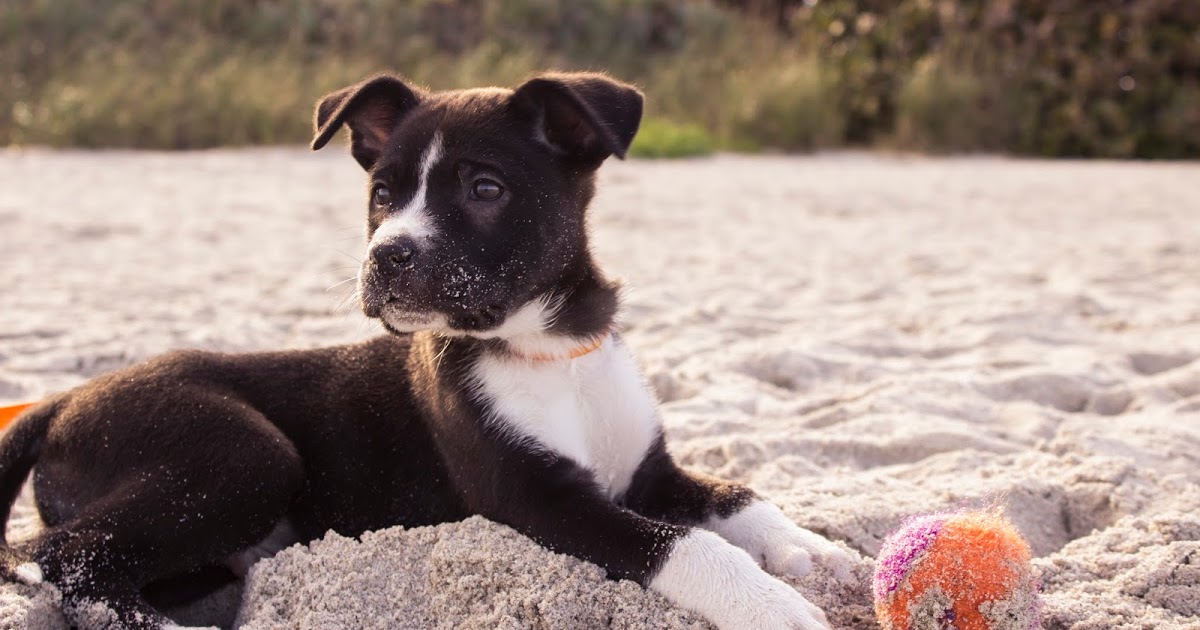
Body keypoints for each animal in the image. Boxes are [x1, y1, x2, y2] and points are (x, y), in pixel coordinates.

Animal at [0, 72, 849, 628]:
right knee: (58, 557)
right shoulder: (537, 499)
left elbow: (737, 496)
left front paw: (812, 550)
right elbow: (685, 546)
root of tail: (63, 400)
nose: (386, 256)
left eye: (484, 189)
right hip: (244, 454)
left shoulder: (650, 471)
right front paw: (773, 606)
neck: (546, 349)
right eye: (381, 194)